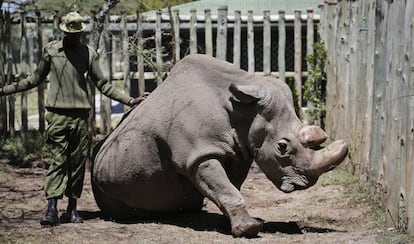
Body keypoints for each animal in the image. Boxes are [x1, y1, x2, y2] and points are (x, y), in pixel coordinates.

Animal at [92, 54, 348, 237]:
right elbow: (225, 188)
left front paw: (239, 224)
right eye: (282, 147)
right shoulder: (199, 155)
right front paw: (249, 230)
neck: (243, 110)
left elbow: (228, 187)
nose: (304, 184)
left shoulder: (240, 152)